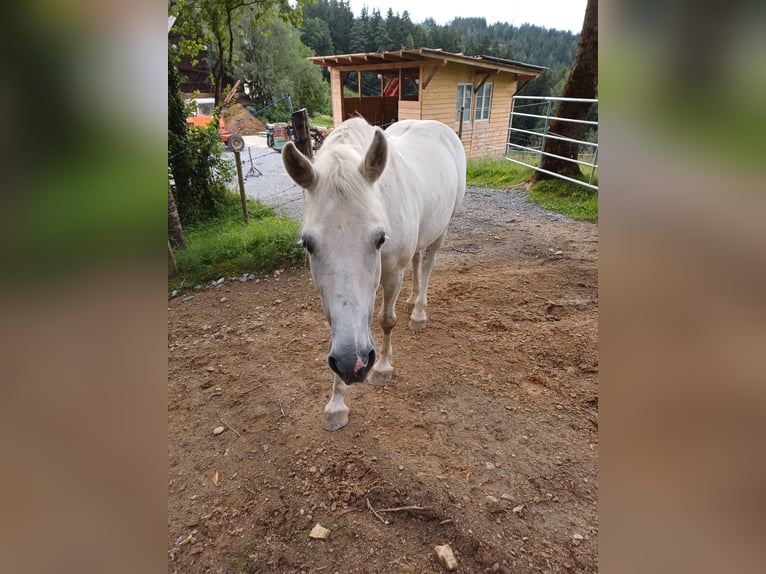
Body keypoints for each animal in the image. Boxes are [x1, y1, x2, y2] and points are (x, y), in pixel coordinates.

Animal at [280, 118, 464, 432]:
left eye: (380, 239)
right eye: (307, 243)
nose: (352, 364)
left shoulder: (392, 273)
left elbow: (386, 321)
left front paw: (382, 368)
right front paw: (337, 402)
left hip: (442, 229)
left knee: (427, 265)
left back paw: (419, 313)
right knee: (417, 260)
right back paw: (412, 301)